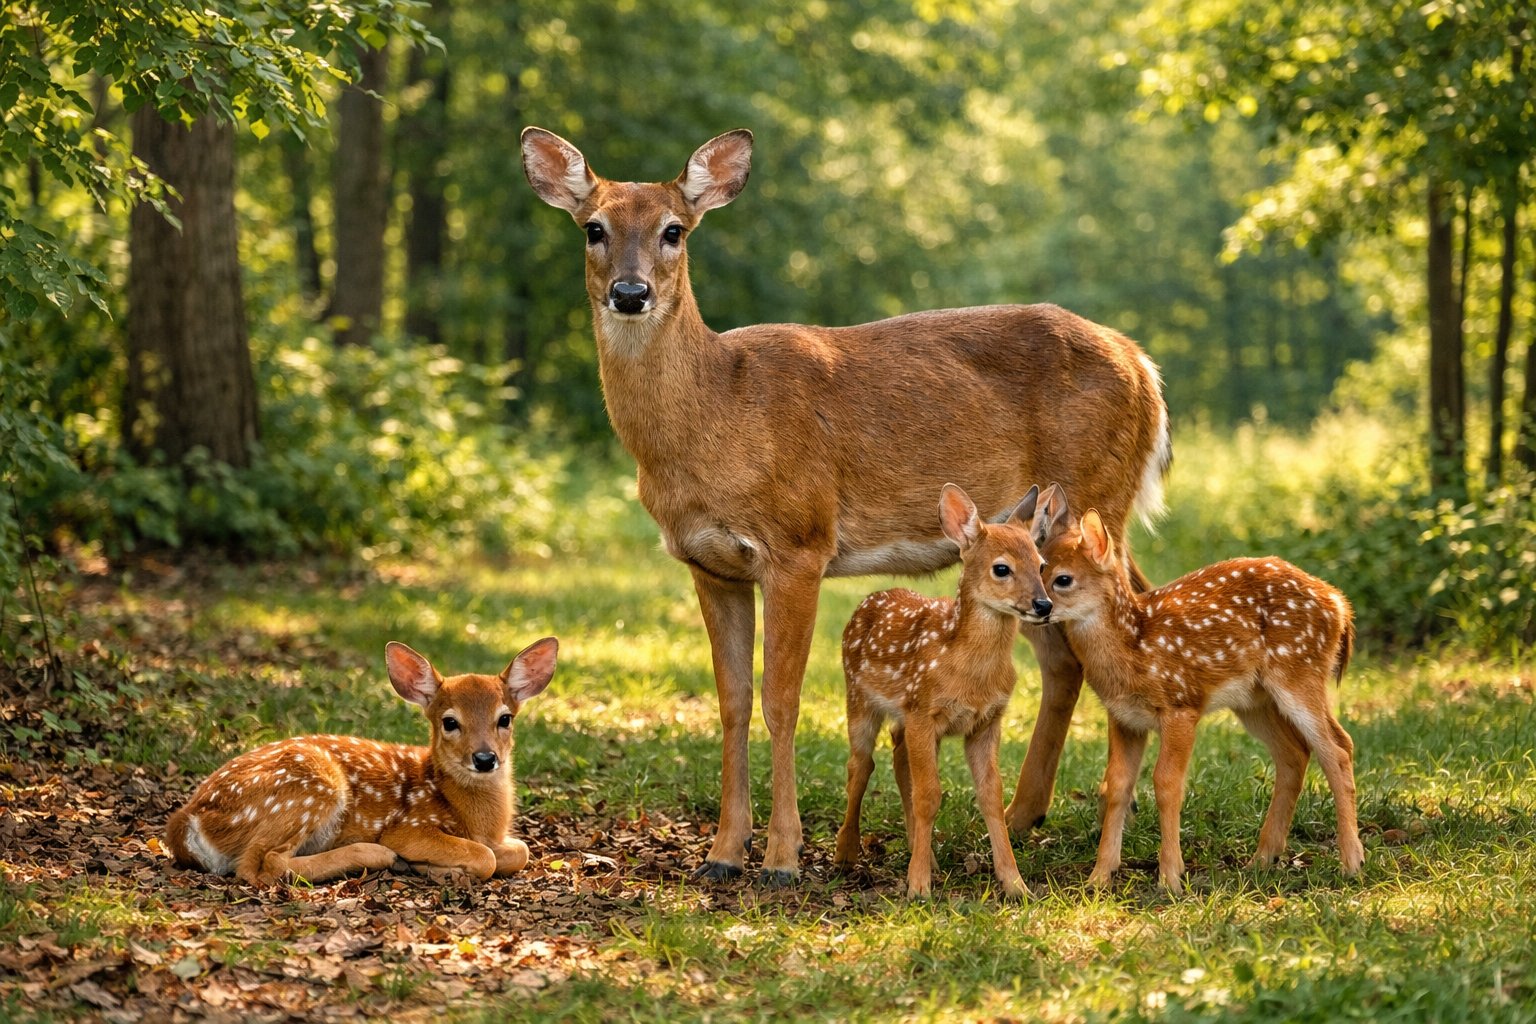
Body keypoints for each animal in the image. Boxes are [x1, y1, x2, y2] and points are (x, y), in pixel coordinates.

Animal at [165, 638, 559, 886]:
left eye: (505, 718)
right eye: (450, 722)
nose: (485, 758)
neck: (478, 819)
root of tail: (187, 819)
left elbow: (520, 851)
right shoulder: (410, 826)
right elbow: (486, 858)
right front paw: (437, 869)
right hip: (309, 786)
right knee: (261, 865)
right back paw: (376, 855)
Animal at [835, 484, 1051, 899]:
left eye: (1042, 565)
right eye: (1002, 568)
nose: (1043, 604)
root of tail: (868, 600)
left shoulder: (986, 721)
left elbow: (991, 796)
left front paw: (1015, 884)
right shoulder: (924, 711)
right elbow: (929, 795)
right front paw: (919, 887)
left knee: (898, 758)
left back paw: (923, 854)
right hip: (858, 697)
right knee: (861, 764)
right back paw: (846, 853)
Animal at [1030, 483, 1364, 893]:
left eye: (1063, 578)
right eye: (1037, 566)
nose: (1037, 606)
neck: (1135, 647)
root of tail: (1340, 605)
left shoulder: (1181, 705)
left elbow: (1166, 783)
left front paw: (1170, 878)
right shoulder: (1125, 717)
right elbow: (1117, 785)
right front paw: (1099, 878)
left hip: (1299, 672)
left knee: (1337, 747)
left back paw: (1351, 862)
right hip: (1254, 700)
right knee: (1295, 753)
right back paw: (1262, 859)